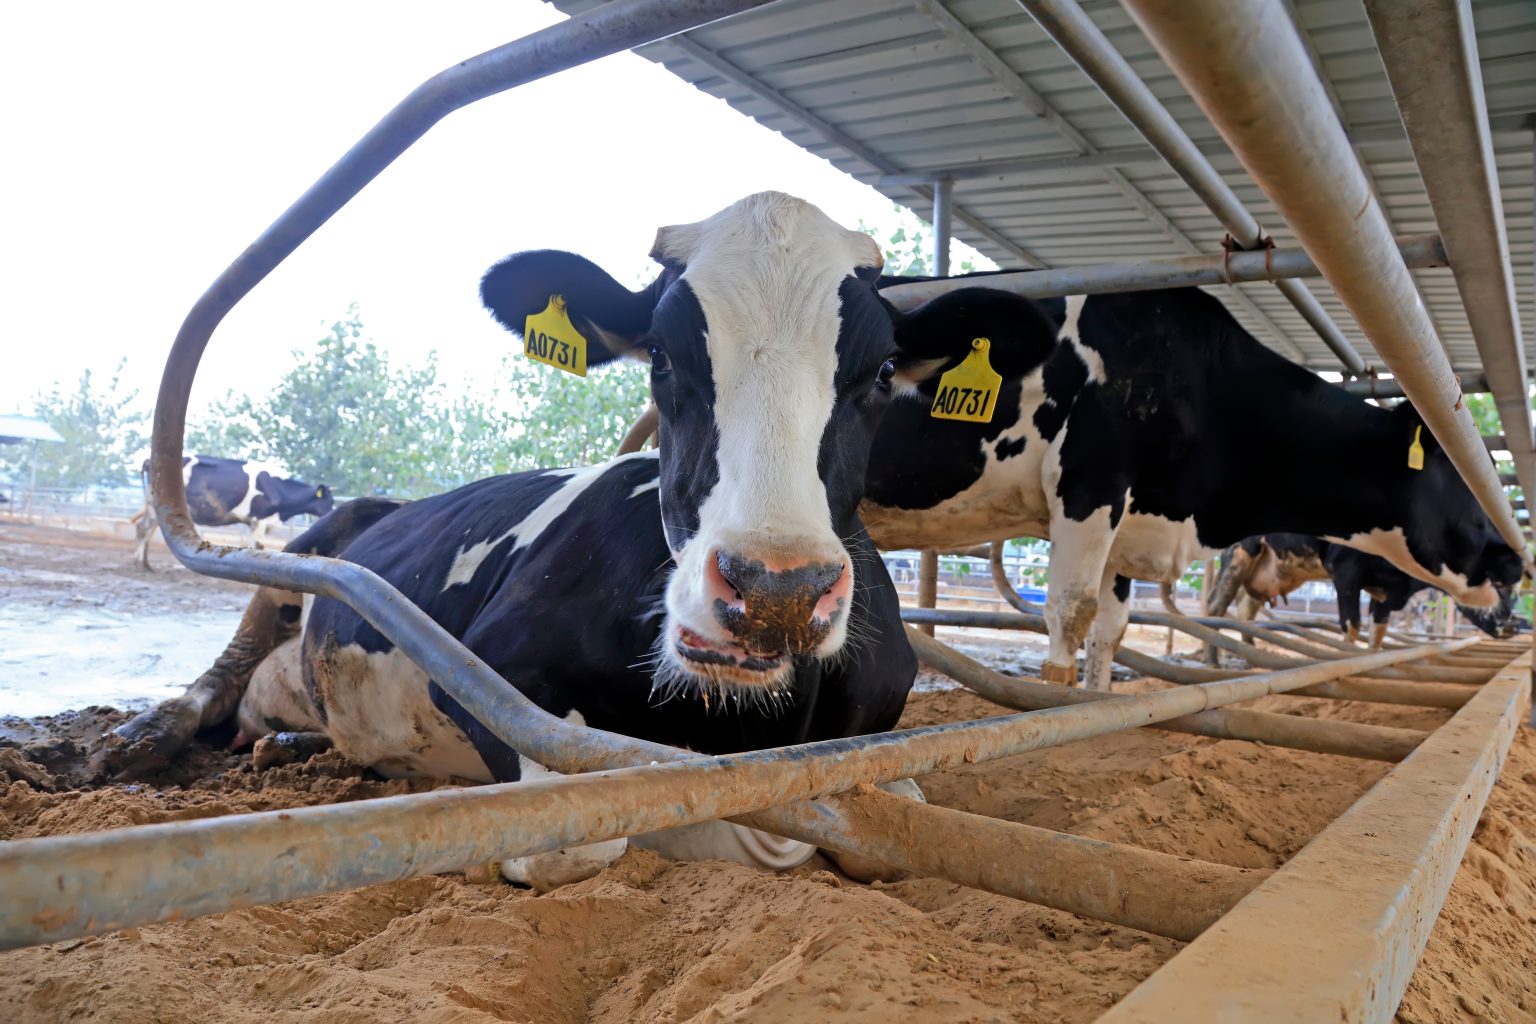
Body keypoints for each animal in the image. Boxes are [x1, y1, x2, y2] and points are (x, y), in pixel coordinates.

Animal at [133, 455, 334, 569]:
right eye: (329, 501)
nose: (330, 513)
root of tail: (150, 460)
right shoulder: (259, 519)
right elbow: (259, 546)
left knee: (144, 529)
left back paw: (144, 563)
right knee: (144, 529)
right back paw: (141, 563)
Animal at [858, 283, 1526, 688]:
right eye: (1469, 481)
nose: (1517, 563)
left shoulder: (1126, 525)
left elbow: (1108, 633)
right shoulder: (1089, 485)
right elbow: (1069, 614)